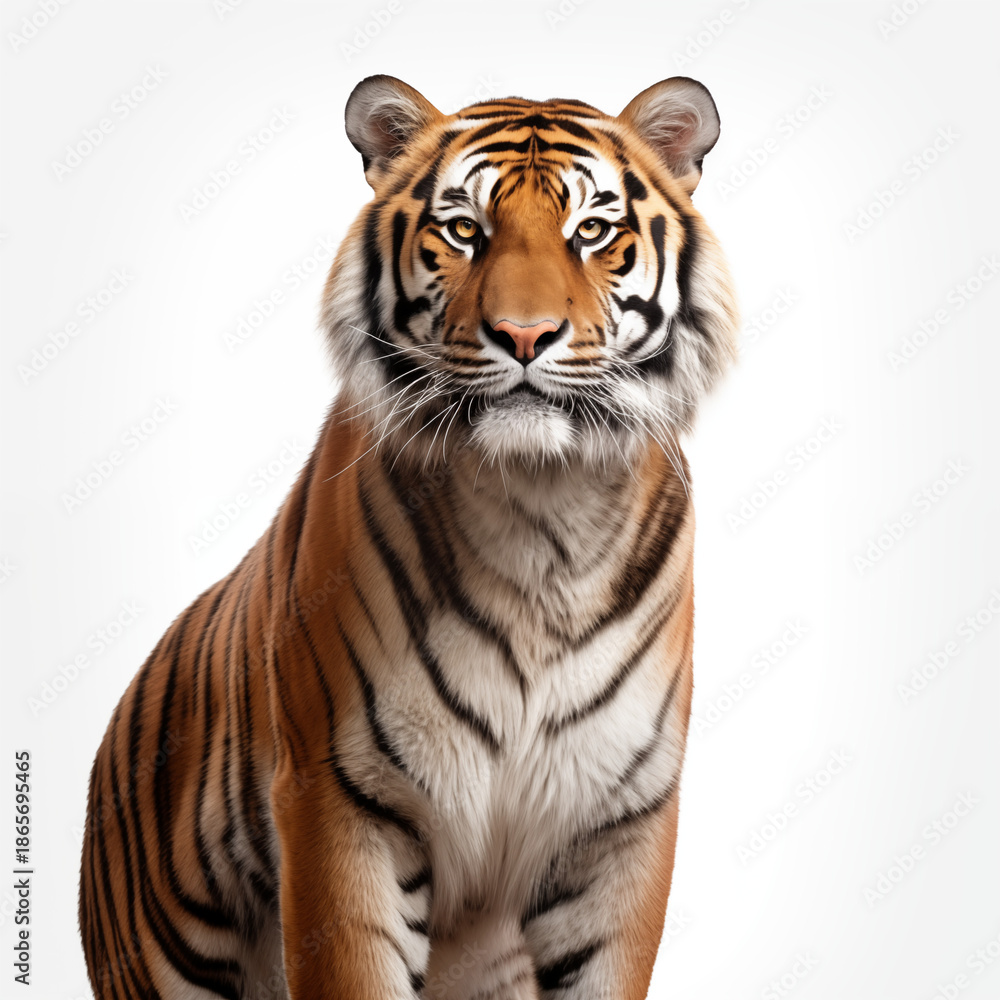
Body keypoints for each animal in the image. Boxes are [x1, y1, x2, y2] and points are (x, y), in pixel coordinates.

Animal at [78, 73, 738, 999]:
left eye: (592, 231)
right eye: (464, 230)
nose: (525, 335)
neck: (541, 511)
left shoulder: (620, 819)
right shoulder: (339, 799)